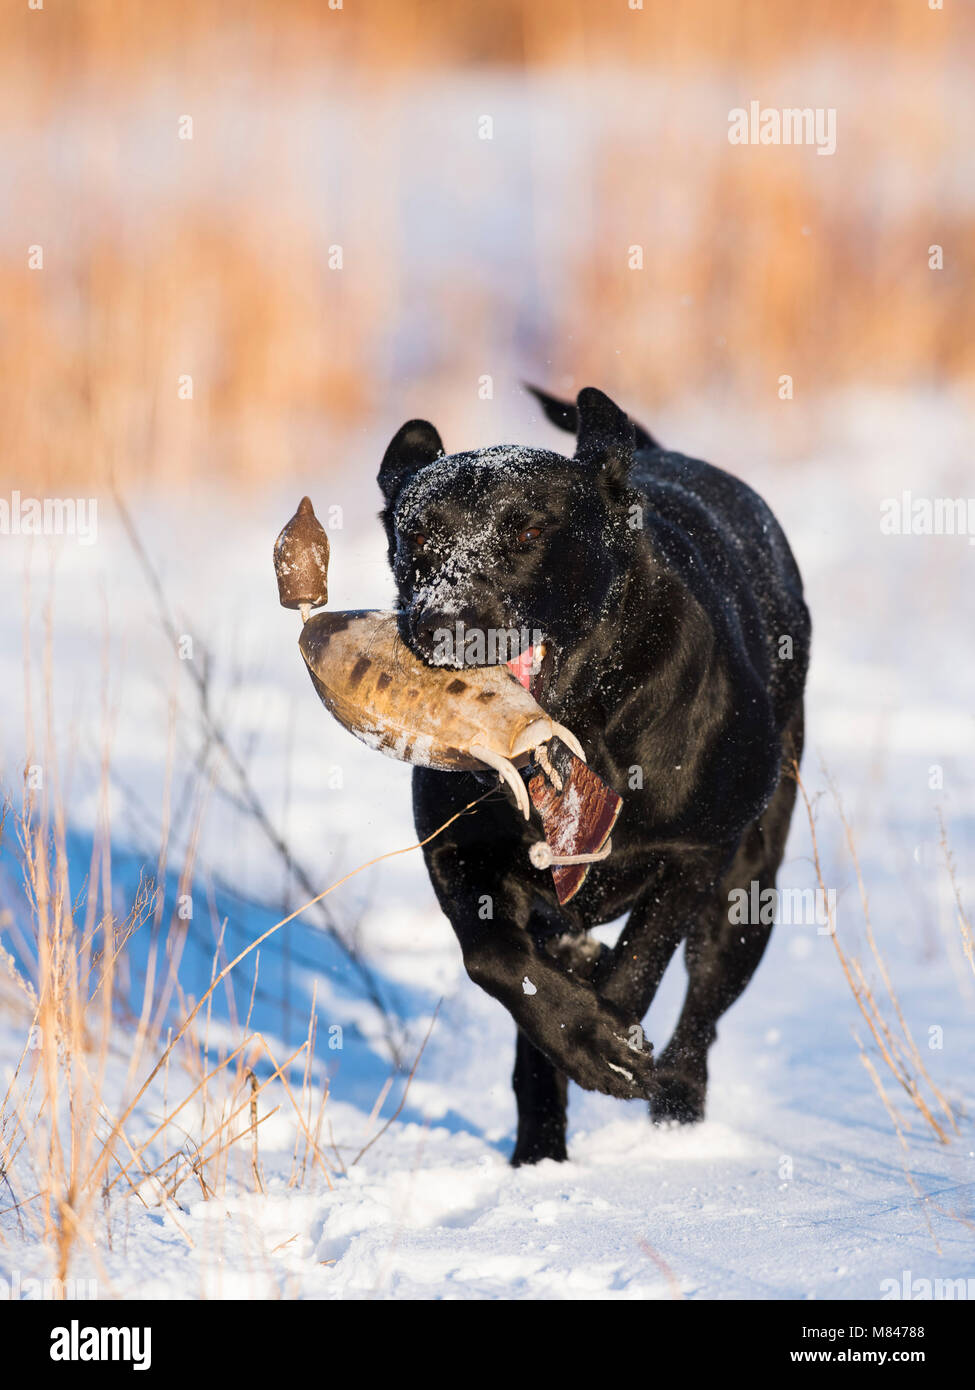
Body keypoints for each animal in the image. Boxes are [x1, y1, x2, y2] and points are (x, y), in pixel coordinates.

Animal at [372, 383, 806, 1162]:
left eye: (525, 534)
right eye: (416, 538)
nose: (443, 623)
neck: (576, 734)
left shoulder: (695, 854)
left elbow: (638, 963)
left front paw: (607, 1037)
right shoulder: (458, 851)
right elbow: (495, 960)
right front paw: (582, 1036)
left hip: (748, 890)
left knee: (698, 1022)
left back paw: (675, 1120)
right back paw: (539, 1150)